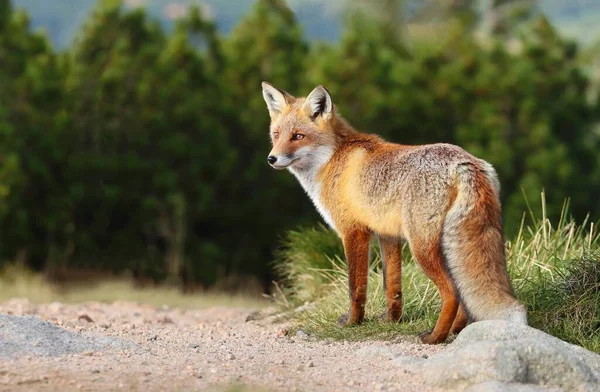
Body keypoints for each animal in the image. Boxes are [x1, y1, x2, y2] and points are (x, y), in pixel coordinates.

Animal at [260, 82, 528, 344]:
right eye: (276, 135)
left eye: (298, 136)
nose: (272, 159)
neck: (333, 158)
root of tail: (465, 162)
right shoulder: (387, 235)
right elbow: (392, 285)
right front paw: (391, 320)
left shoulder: (354, 232)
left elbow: (356, 287)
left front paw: (353, 322)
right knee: (460, 292)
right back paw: (455, 331)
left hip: (422, 247)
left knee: (452, 292)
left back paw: (436, 337)